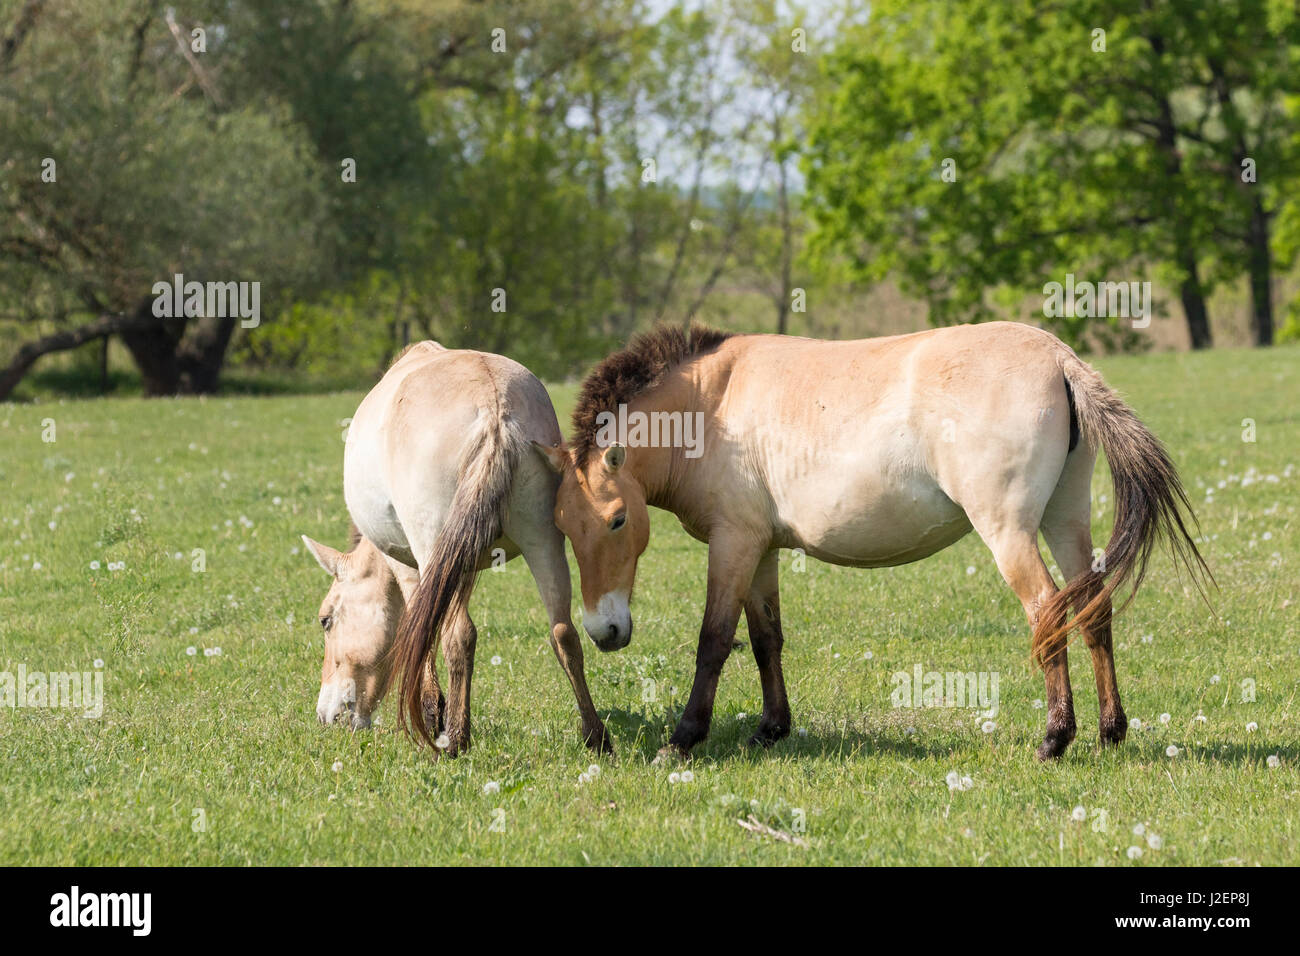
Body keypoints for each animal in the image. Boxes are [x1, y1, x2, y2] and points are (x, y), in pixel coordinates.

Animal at [301, 343, 611, 754]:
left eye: (326, 620)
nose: (327, 714)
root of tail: (495, 409)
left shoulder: (409, 564)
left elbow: (418, 627)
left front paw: (432, 711)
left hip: (435, 543)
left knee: (456, 634)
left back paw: (455, 737)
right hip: (543, 540)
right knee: (563, 633)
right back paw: (595, 735)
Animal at [533, 321, 1211, 764]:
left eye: (617, 520)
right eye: (563, 526)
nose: (604, 632)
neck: (710, 402)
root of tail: (1059, 359)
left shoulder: (732, 544)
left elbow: (714, 641)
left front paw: (683, 739)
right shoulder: (760, 548)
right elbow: (765, 639)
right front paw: (772, 728)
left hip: (1009, 532)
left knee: (1047, 612)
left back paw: (1055, 737)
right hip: (1065, 522)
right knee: (1092, 609)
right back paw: (1109, 730)